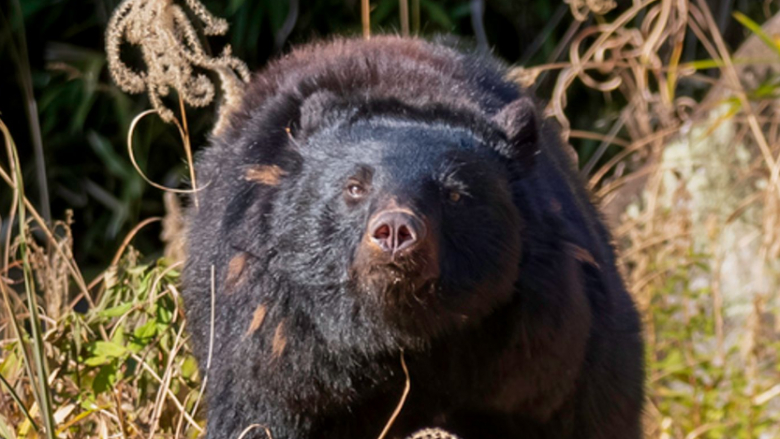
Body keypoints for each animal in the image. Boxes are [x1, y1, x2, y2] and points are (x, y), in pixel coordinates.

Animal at [184, 37, 644, 439]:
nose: (395, 231)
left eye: (454, 193)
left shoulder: (547, 357)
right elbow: (259, 415)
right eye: (355, 187)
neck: (404, 337)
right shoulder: (272, 343)